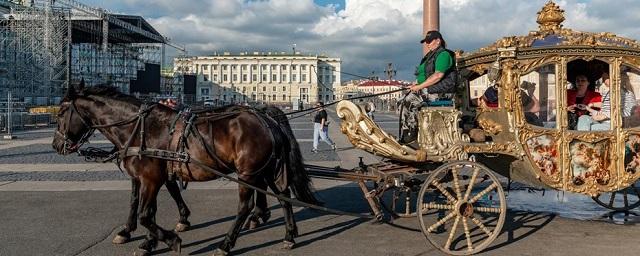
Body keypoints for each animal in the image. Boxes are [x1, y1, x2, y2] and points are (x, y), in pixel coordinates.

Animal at [52, 82, 318, 256]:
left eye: (61, 112)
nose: (56, 145)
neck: (141, 128)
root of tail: (266, 117)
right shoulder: (145, 177)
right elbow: (140, 206)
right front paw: (141, 238)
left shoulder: (151, 178)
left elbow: (146, 214)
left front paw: (170, 239)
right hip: (267, 169)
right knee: (283, 197)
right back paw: (288, 236)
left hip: (248, 172)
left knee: (245, 206)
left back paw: (226, 244)